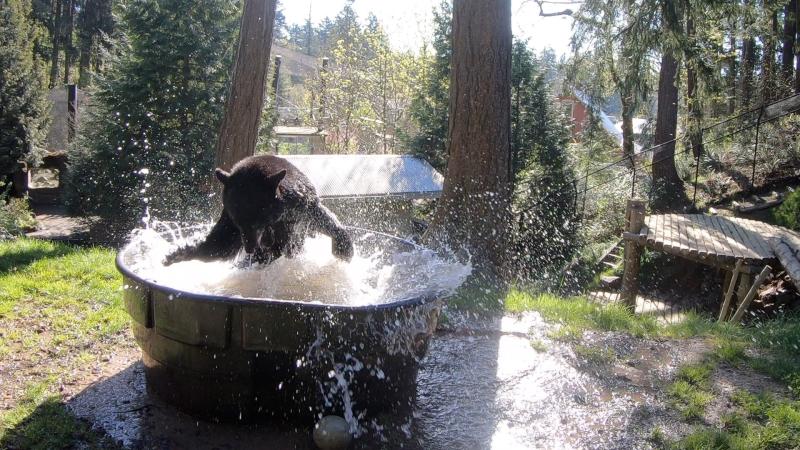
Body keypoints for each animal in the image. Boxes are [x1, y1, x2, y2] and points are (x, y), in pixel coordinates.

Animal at [164, 155, 354, 266]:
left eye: (257, 222)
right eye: (239, 223)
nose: (250, 248)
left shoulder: (299, 211)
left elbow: (323, 220)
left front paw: (344, 251)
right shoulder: (229, 217)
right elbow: (221, 243)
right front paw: (176, 254)